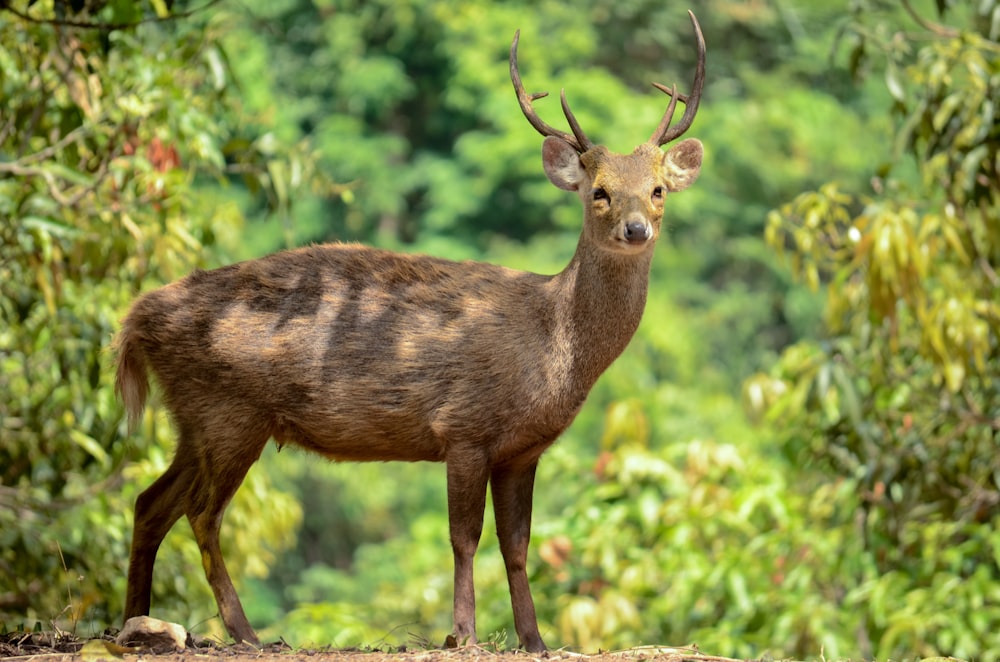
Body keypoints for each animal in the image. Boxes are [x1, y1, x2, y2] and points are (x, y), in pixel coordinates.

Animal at [113, 10, 708, 652]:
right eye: (598, 192)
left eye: (657, 189)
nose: (635, 228)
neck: (550, 347)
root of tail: (136, 318)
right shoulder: (464, 426)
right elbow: (465, 538)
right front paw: (462, 633)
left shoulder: (523, 449)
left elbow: (518, 547)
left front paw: (535, 640)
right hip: (229, 410)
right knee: (201, 513)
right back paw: (246, 631)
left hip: (194, 417)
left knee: (150, 502)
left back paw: (135, 621)